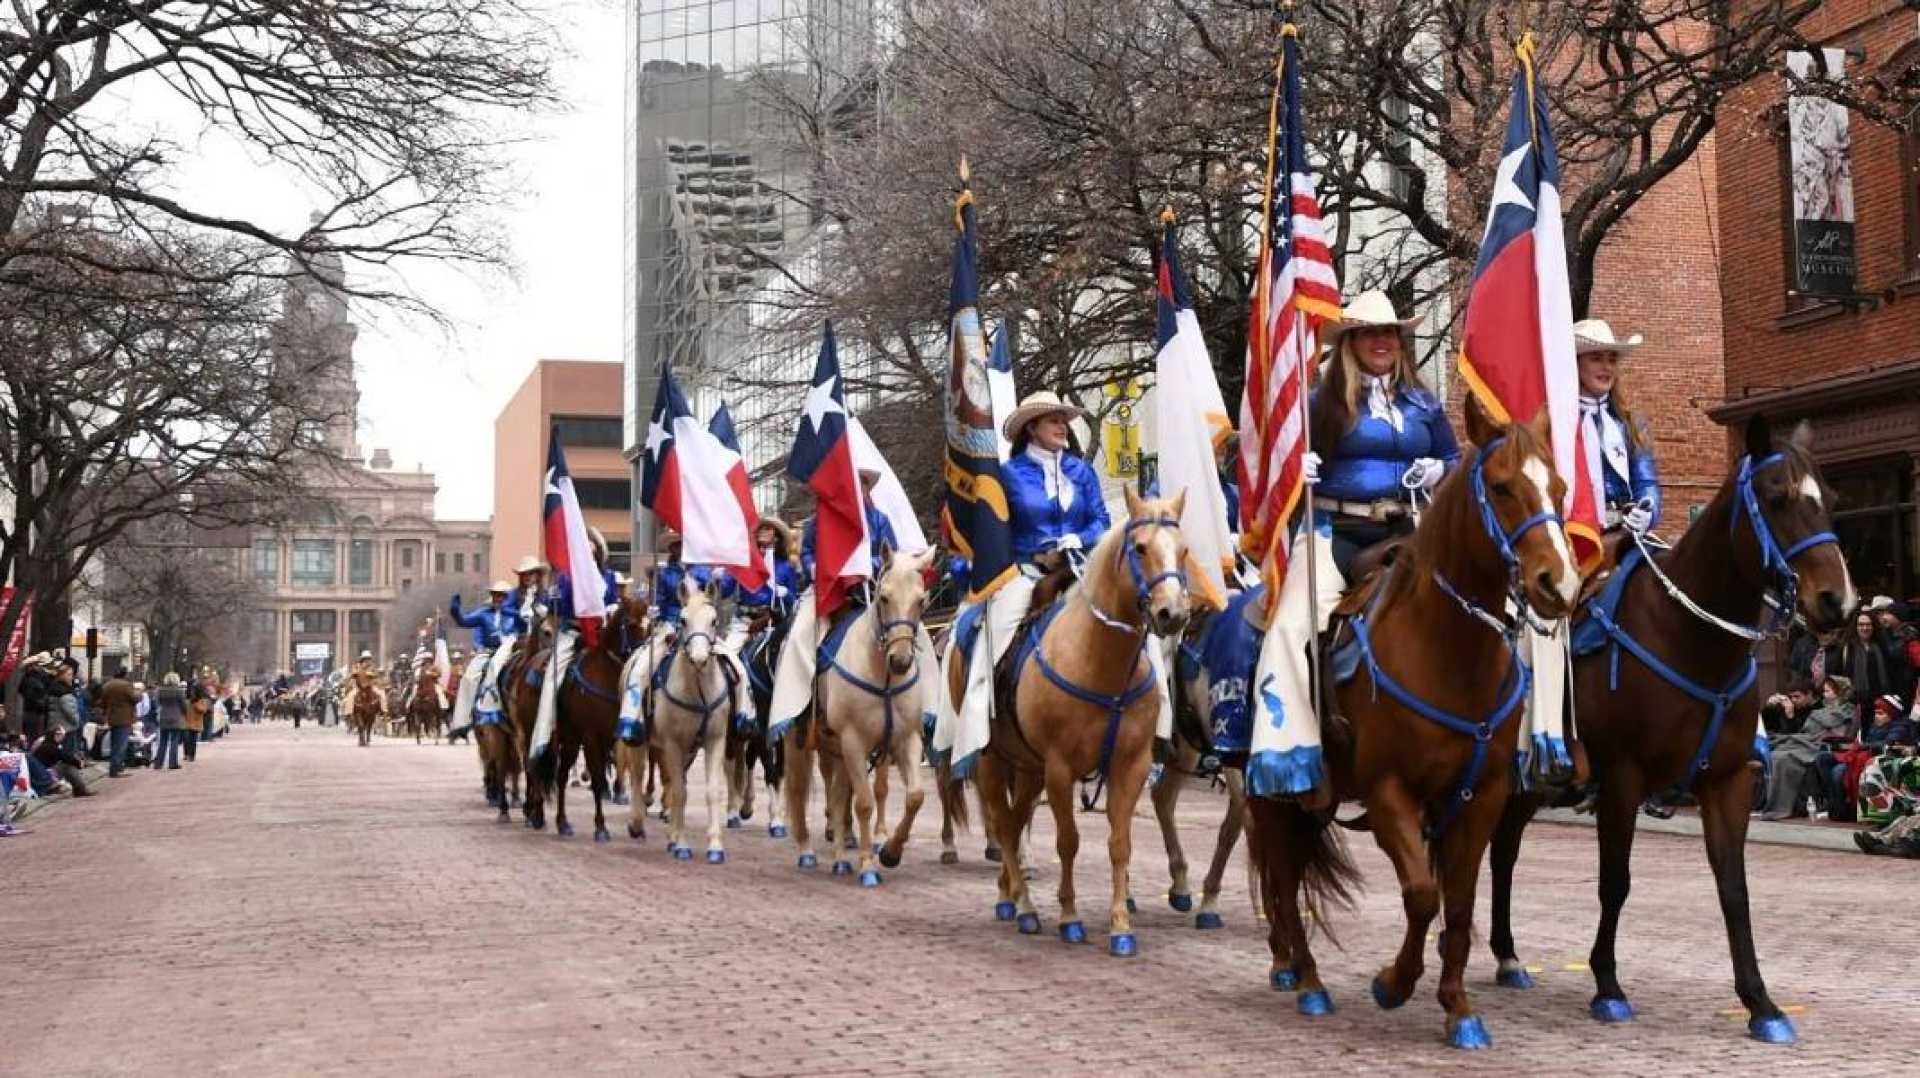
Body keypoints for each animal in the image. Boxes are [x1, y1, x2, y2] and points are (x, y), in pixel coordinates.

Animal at [641, 584, 737, 860]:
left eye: (714, 620)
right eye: (683, 620)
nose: (699, 658)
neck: (698, 692)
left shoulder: (715, 740)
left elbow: (711, 790)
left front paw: (715, 845)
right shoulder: (672, 744)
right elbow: (680, 792)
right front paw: (682, 844)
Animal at [787, 549, 936, 880]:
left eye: (921, 600)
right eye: (884, 597)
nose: (901, 661)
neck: (883, 680)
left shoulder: (905, 739)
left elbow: (914, 796)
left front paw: (891, 852)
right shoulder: (854, 741)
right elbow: (864, 802)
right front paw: (868, 864)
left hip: (837, 748)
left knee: (839, 796)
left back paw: (841, 857)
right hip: (801, 740)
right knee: (798, 790)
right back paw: (806, 851)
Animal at [956, 486, 1182, 949]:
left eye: (1183, 549)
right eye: (1140, 547)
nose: (1173, 614)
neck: (1100, 662)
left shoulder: (1130, 766)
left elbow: (1120, 843)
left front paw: (1121, 926)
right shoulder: (1060, 768)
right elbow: (1068, 841)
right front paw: (1069, 916)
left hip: (1028, 768)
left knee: (1014, 822)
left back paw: (1010, 896)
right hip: (993, 763)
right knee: (1004, 824)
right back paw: (1024, 907)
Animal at [1251, 399, 1582, 1045]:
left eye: (1557, 486)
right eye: (1502, 487)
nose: (1558, 584)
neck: (1447, 651)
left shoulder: (1481, 796)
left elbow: (1460, 901)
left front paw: (1458, 1006)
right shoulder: (1388, 793)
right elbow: (1423, 895)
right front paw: (1393, 983)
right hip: (1271, 792)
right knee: (1282, 872)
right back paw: (1307, 980)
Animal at [1474, 413, 1850, 1045]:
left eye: (1830, 499)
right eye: (1776, 498)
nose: (1837, 602)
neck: (1689, 636)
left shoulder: (1727, 782)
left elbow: (1734, 890)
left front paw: (1761, 1003)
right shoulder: (1623, 779)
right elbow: (1615, 881)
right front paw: (1607, 986)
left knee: (1504, 852)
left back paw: (1507, 956)